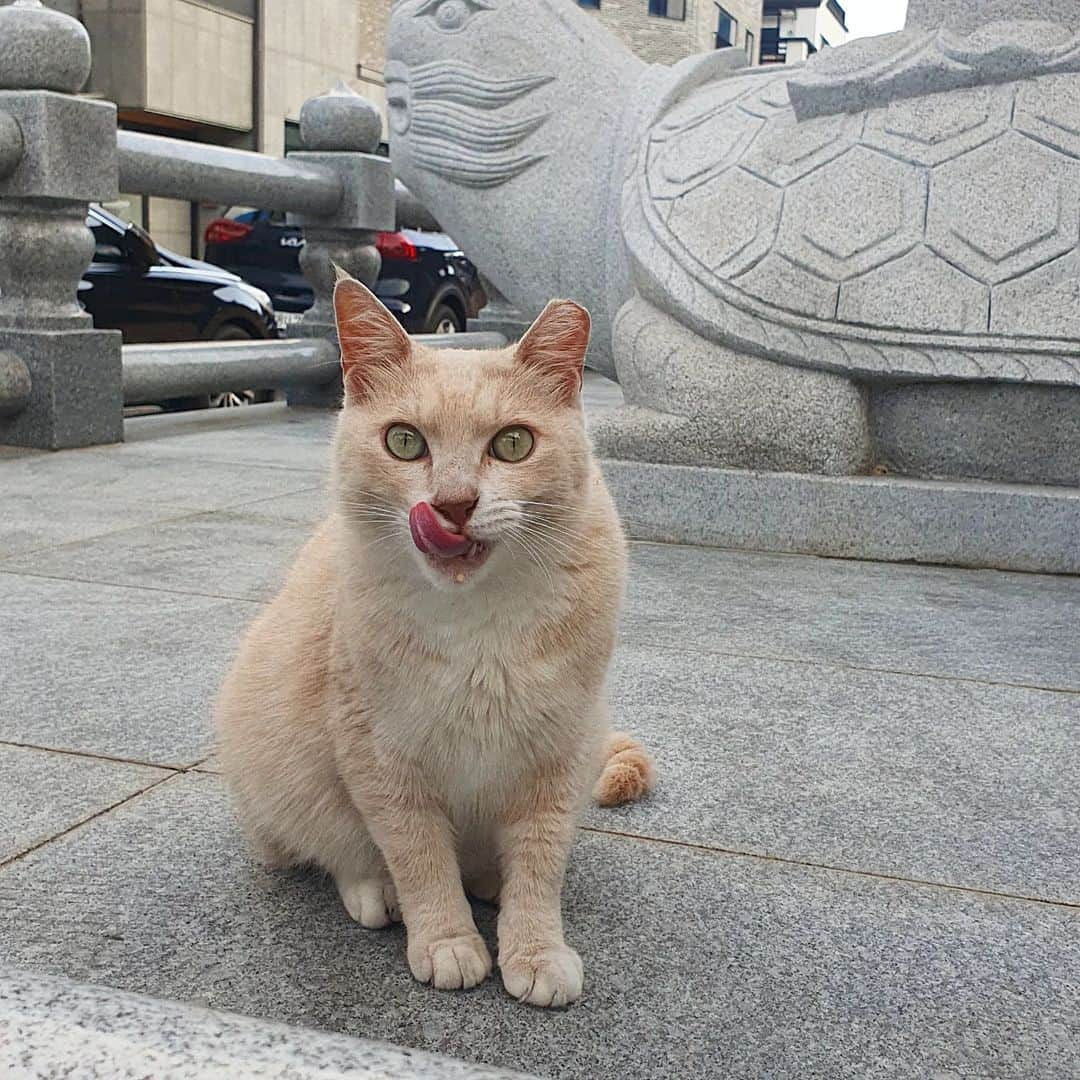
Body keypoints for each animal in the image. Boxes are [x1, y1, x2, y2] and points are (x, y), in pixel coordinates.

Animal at [210, 274, 648, 1006]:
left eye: (513, 444)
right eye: (405, 443)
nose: (452, 504)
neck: (477, 621)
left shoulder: (560, 754)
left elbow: (539, 865)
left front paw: (534, 949)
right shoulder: (381, 758)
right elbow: (418, 858)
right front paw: (446, 941)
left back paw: (489, 882)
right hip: (277, 775)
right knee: (333, 851)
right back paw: (376, 892)